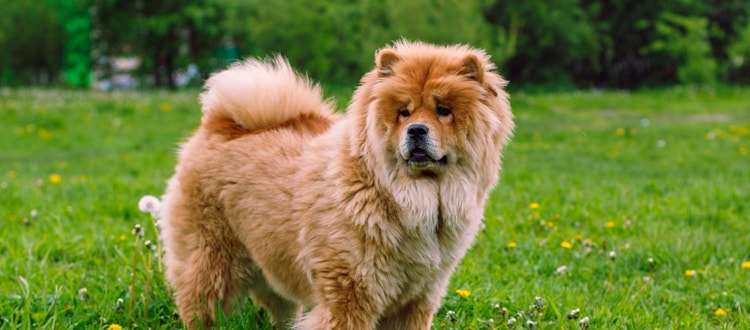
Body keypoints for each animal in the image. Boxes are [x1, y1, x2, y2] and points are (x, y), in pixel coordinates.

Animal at [161, 40, 516, 328]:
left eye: (443, 110)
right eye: (403, 112)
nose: (416, 130)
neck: (406, 198)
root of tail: (219, 124)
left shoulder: (417, 297)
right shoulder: (350, 293)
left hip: (270, 263)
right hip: (212, 257)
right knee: (198, 303)